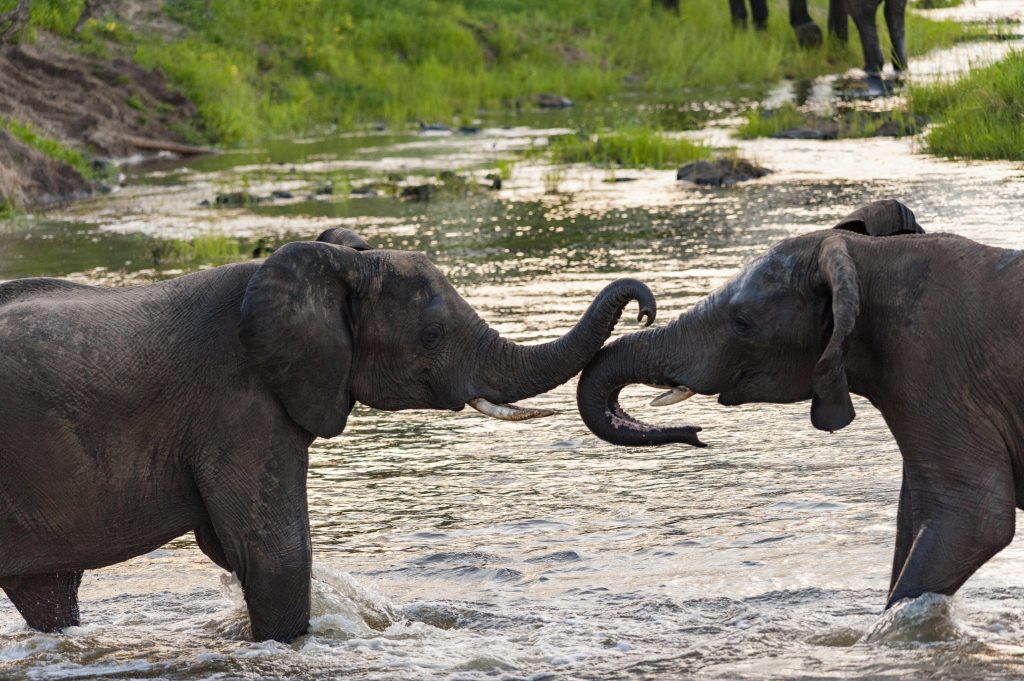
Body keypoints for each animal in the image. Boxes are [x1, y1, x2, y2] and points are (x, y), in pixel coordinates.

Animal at [0, 227, 657, 642]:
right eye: (433, 335)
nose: (645, 307)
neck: (334, 266)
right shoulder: (238, 401)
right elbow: (274, 555)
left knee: (48, 593)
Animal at [577, 199, 1024, 609]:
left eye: (742, 323)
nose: (697, 434)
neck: (870, 257)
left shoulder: (932, 370)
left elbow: (973, 518)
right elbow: (914, 519)